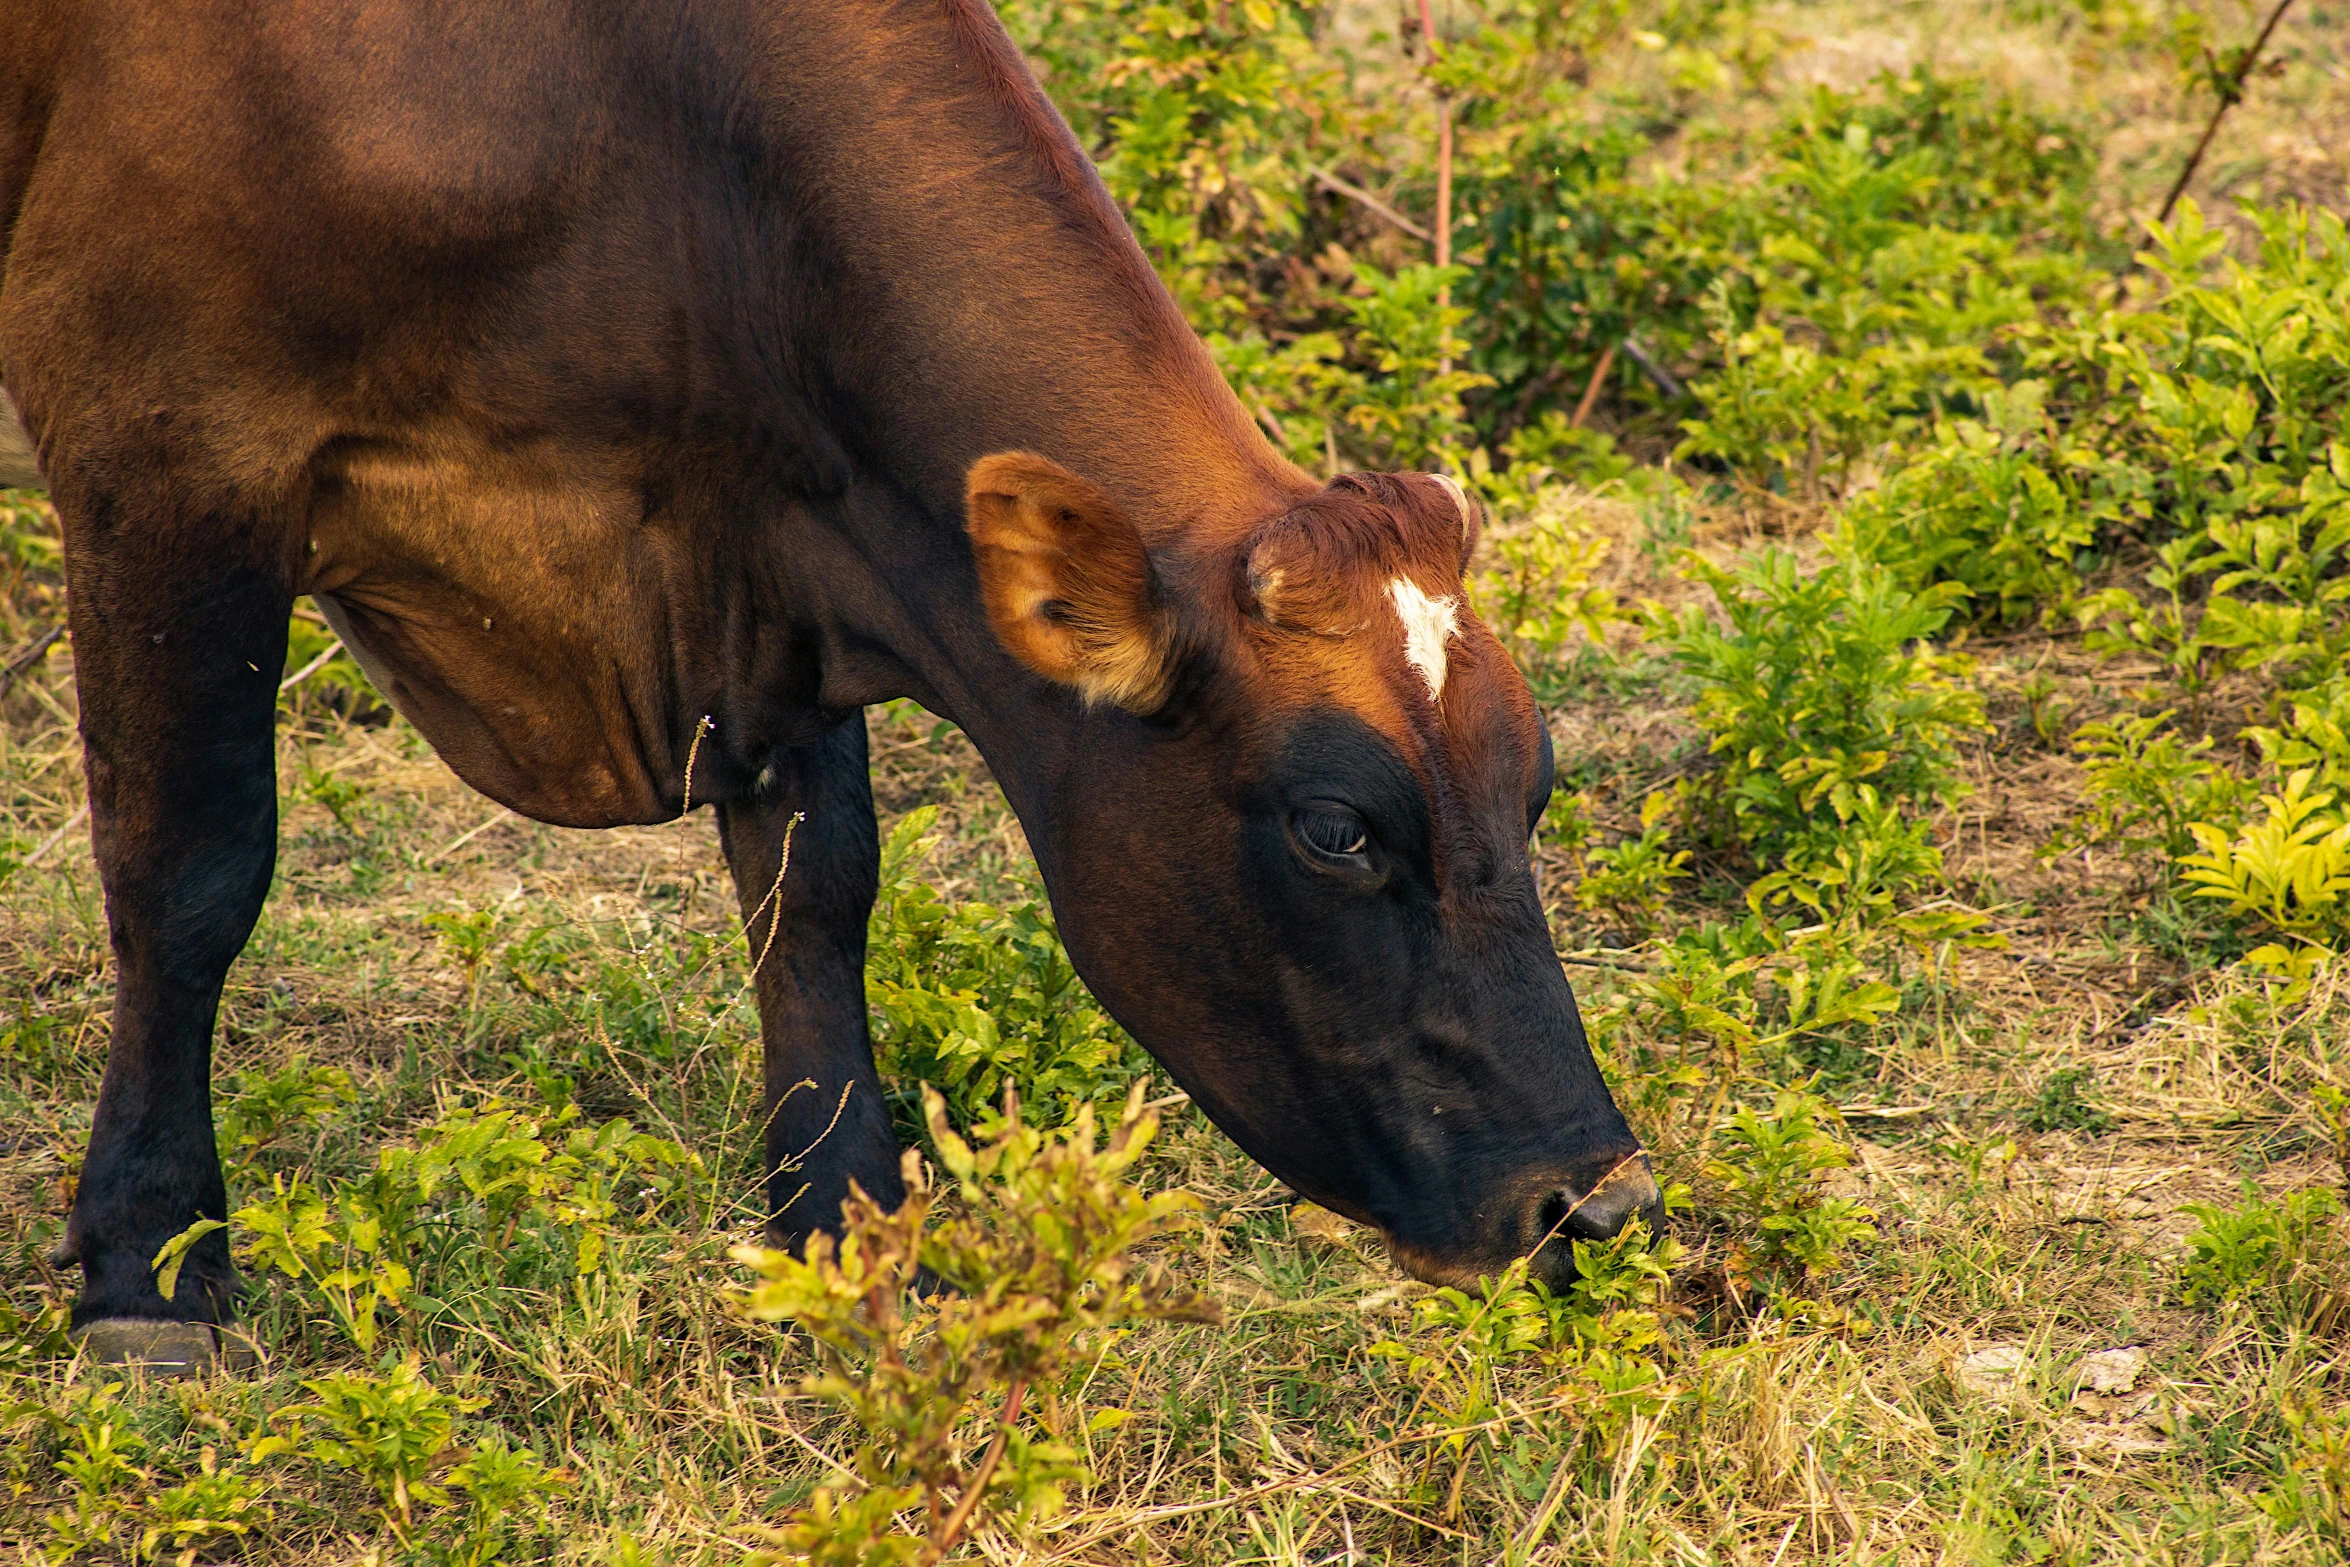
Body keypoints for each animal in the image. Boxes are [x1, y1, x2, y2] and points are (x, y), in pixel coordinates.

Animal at [0, 0, 1663, 1362]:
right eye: (1335, 827)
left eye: (1534, 786)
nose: (1593, 1204)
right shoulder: (165, 442)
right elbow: (191, 866)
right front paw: (151, 1265)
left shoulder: (784, 541)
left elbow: (816, 885)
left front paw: (848, 1224)